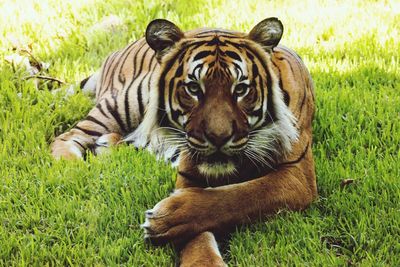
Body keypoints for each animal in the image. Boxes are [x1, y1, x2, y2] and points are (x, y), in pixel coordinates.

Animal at [50, 17, 318, 266]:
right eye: (193, 88)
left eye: (240, 89)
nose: (218, 137)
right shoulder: (190, 173)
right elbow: (207, 210)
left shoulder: (297, 174)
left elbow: (240, 196)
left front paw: (167, 218)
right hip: (124, 102)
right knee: (67, 137)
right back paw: (72, 167)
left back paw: (106, 147)